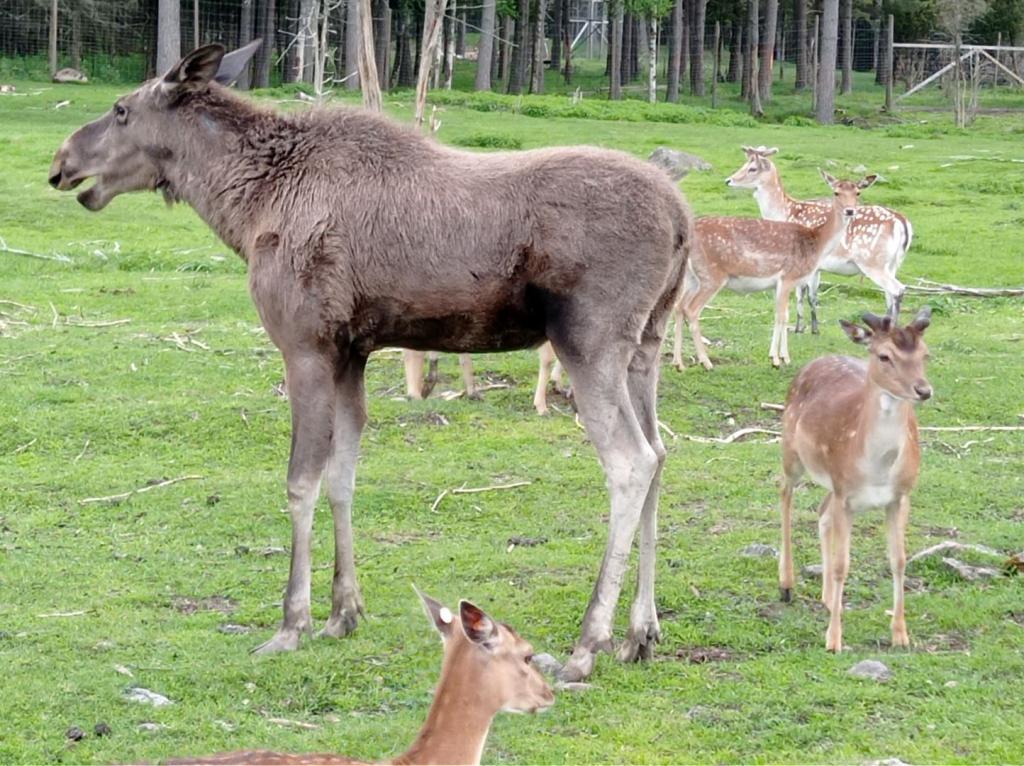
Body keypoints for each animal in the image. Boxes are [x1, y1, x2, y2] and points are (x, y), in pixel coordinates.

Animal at [48, 44, 688, 679]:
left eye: (121, 110)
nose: (61, 162)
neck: (244, 206)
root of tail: (682, 217)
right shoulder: (351, 353)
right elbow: (343, 477)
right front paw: (343, 612)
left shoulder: (304, 346)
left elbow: (300, 481)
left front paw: (292, 623)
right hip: (644, 348)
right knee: (660, 453)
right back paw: (641, 633)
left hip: (589, 340)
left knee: (631, 462)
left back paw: (588, 643)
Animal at [675, 169, 868, 370]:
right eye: (836, 192)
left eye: (857, 192)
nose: (850, 210)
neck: (817, 243)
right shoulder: (788, 276)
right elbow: (781, 316)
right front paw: (777, 359)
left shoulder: (779, 284)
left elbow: (783, 314)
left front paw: (781, 357)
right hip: (711, 275)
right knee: (692, 310)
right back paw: (706, 362)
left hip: (691, 277)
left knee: (679, 306)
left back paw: (678, 363)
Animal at [724, 146, 917, 331]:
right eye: (744, 164)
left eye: (752, 168)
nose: (728, 180)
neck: (784, 212)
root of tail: (902, 222)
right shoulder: (817, 267)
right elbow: (812, 295)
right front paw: (810, 328)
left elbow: (801, 293)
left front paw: (801, 328)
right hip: (893, 264)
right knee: (890, 294)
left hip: (872, 262)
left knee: (897, 289)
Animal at [778, 305, 933, 651]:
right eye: (884, 356)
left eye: (925, 354)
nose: (924, 390)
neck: (877, 469)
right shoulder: (846, 496)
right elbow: (841, 564)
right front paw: (833, 640)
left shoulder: (900, 495)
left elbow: (899, 559)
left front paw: (901, 635)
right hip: (791, 453)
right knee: (784, 495)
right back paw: (786, 585)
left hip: (831, 483)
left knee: (821, 513)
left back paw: (826, 598)